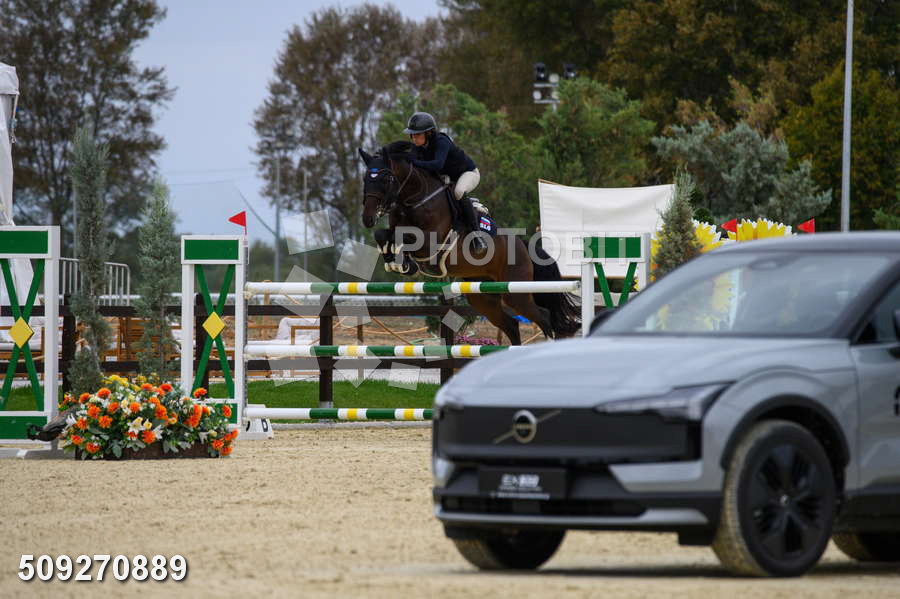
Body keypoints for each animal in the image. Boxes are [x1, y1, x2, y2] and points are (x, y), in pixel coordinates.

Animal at [358, 141, 579, 345]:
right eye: (365, 178)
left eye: (386, 178)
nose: (367, 218)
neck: (415, 200)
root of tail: (524, 247)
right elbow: (382, 234)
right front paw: (396, 262)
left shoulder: (430, 241)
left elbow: (402, 237)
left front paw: (401, 263)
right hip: (483, 297)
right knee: (511, 324)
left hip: (515, 293)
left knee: (543, 317)